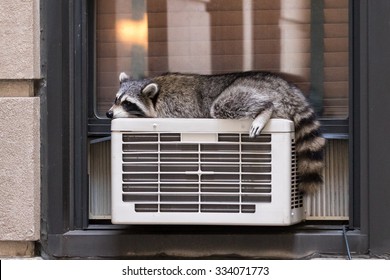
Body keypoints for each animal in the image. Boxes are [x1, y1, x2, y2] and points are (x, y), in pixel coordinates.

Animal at [107, 71, 326, 195]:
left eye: (127, 103)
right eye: (116, 99)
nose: (109, 113)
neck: (156, 91)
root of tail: (284, 87)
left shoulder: (175, 107)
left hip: (247, 92)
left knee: (226, 104)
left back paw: (265, 110)